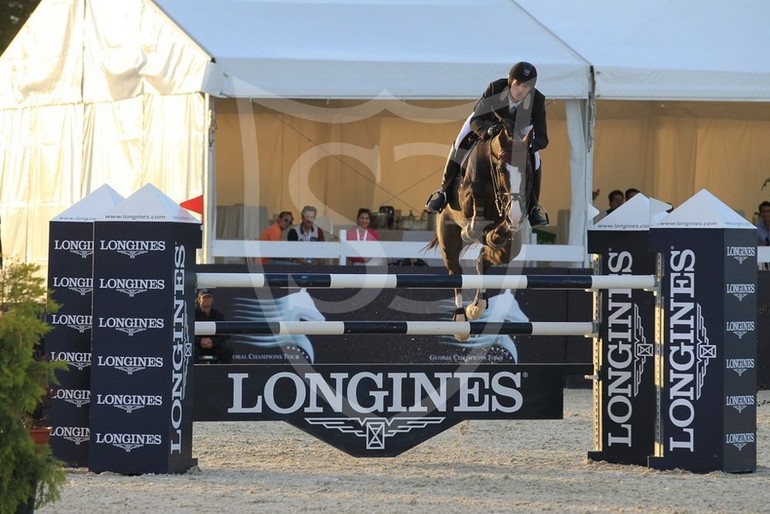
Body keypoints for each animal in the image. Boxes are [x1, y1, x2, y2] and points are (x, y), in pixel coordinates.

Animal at [424, 120, 532, 340]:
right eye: (501, 170)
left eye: (527, 170)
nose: (516, 214)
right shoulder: (468, 197)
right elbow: (475, 201)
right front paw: (470, 230)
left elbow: (500, 229)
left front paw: (495, 234)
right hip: (448, 238)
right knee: (455, 271)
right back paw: (460, 319)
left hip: (507, 249)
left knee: (484, 259)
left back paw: (477, 305)